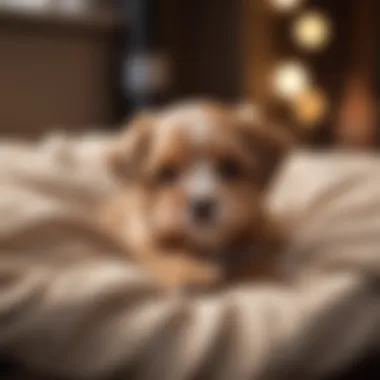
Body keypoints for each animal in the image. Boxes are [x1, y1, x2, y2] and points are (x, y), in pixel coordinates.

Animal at [100, 101, 290, 288]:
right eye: (167, 172)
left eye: (230, 167)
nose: (202, 205)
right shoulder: (144, 240)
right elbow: (163, 256)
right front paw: (192, 274)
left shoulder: (265, 231)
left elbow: (261, 248)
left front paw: (260, 272)